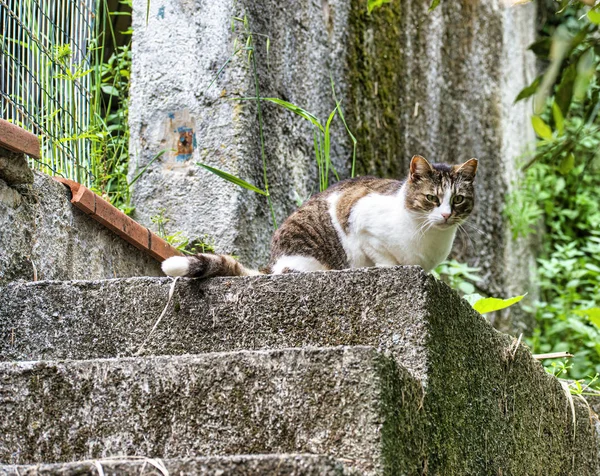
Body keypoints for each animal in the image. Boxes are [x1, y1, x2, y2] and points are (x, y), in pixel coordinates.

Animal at [161, 154, 478, 278]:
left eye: (458, 199)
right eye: (432, 198)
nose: (446, 215)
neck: (428, 237)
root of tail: (273, 264)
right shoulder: (360, 221)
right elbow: (384, 258)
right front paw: (392, 268)